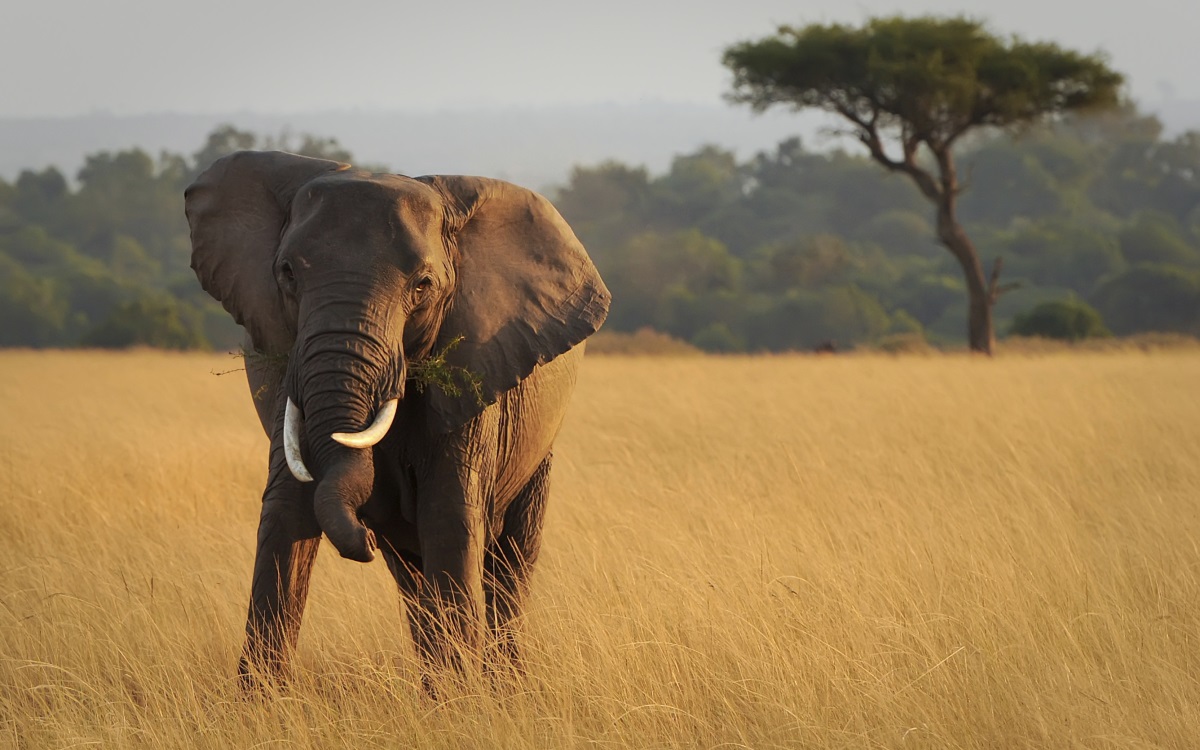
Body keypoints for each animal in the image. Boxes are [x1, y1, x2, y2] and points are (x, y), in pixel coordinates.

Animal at [184, 150, 609, 686]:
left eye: (423, 286)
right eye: (287, 274)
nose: (363, 537)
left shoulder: (475, 371)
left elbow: (449, 518)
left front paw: (464, 700)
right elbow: (286, 514)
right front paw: (260, 701)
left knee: (510, 561)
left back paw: (502, 685)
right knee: (412, 575)